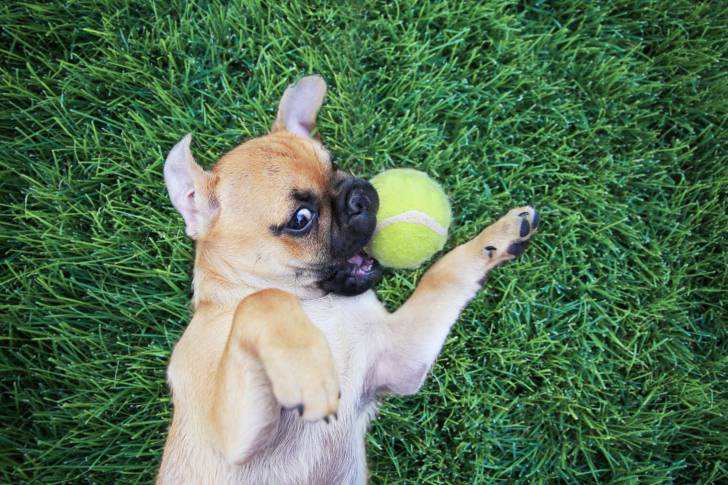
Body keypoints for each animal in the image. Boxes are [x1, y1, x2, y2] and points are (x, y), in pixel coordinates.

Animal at [158, 73, 536, 482]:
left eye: (334, 164)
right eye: (301, 219)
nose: (359, 196)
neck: (315, 304)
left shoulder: (399, 357)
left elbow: (443, 273)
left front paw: (498, 236)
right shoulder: (230, 436)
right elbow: (262, 301)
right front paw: (306, 368)